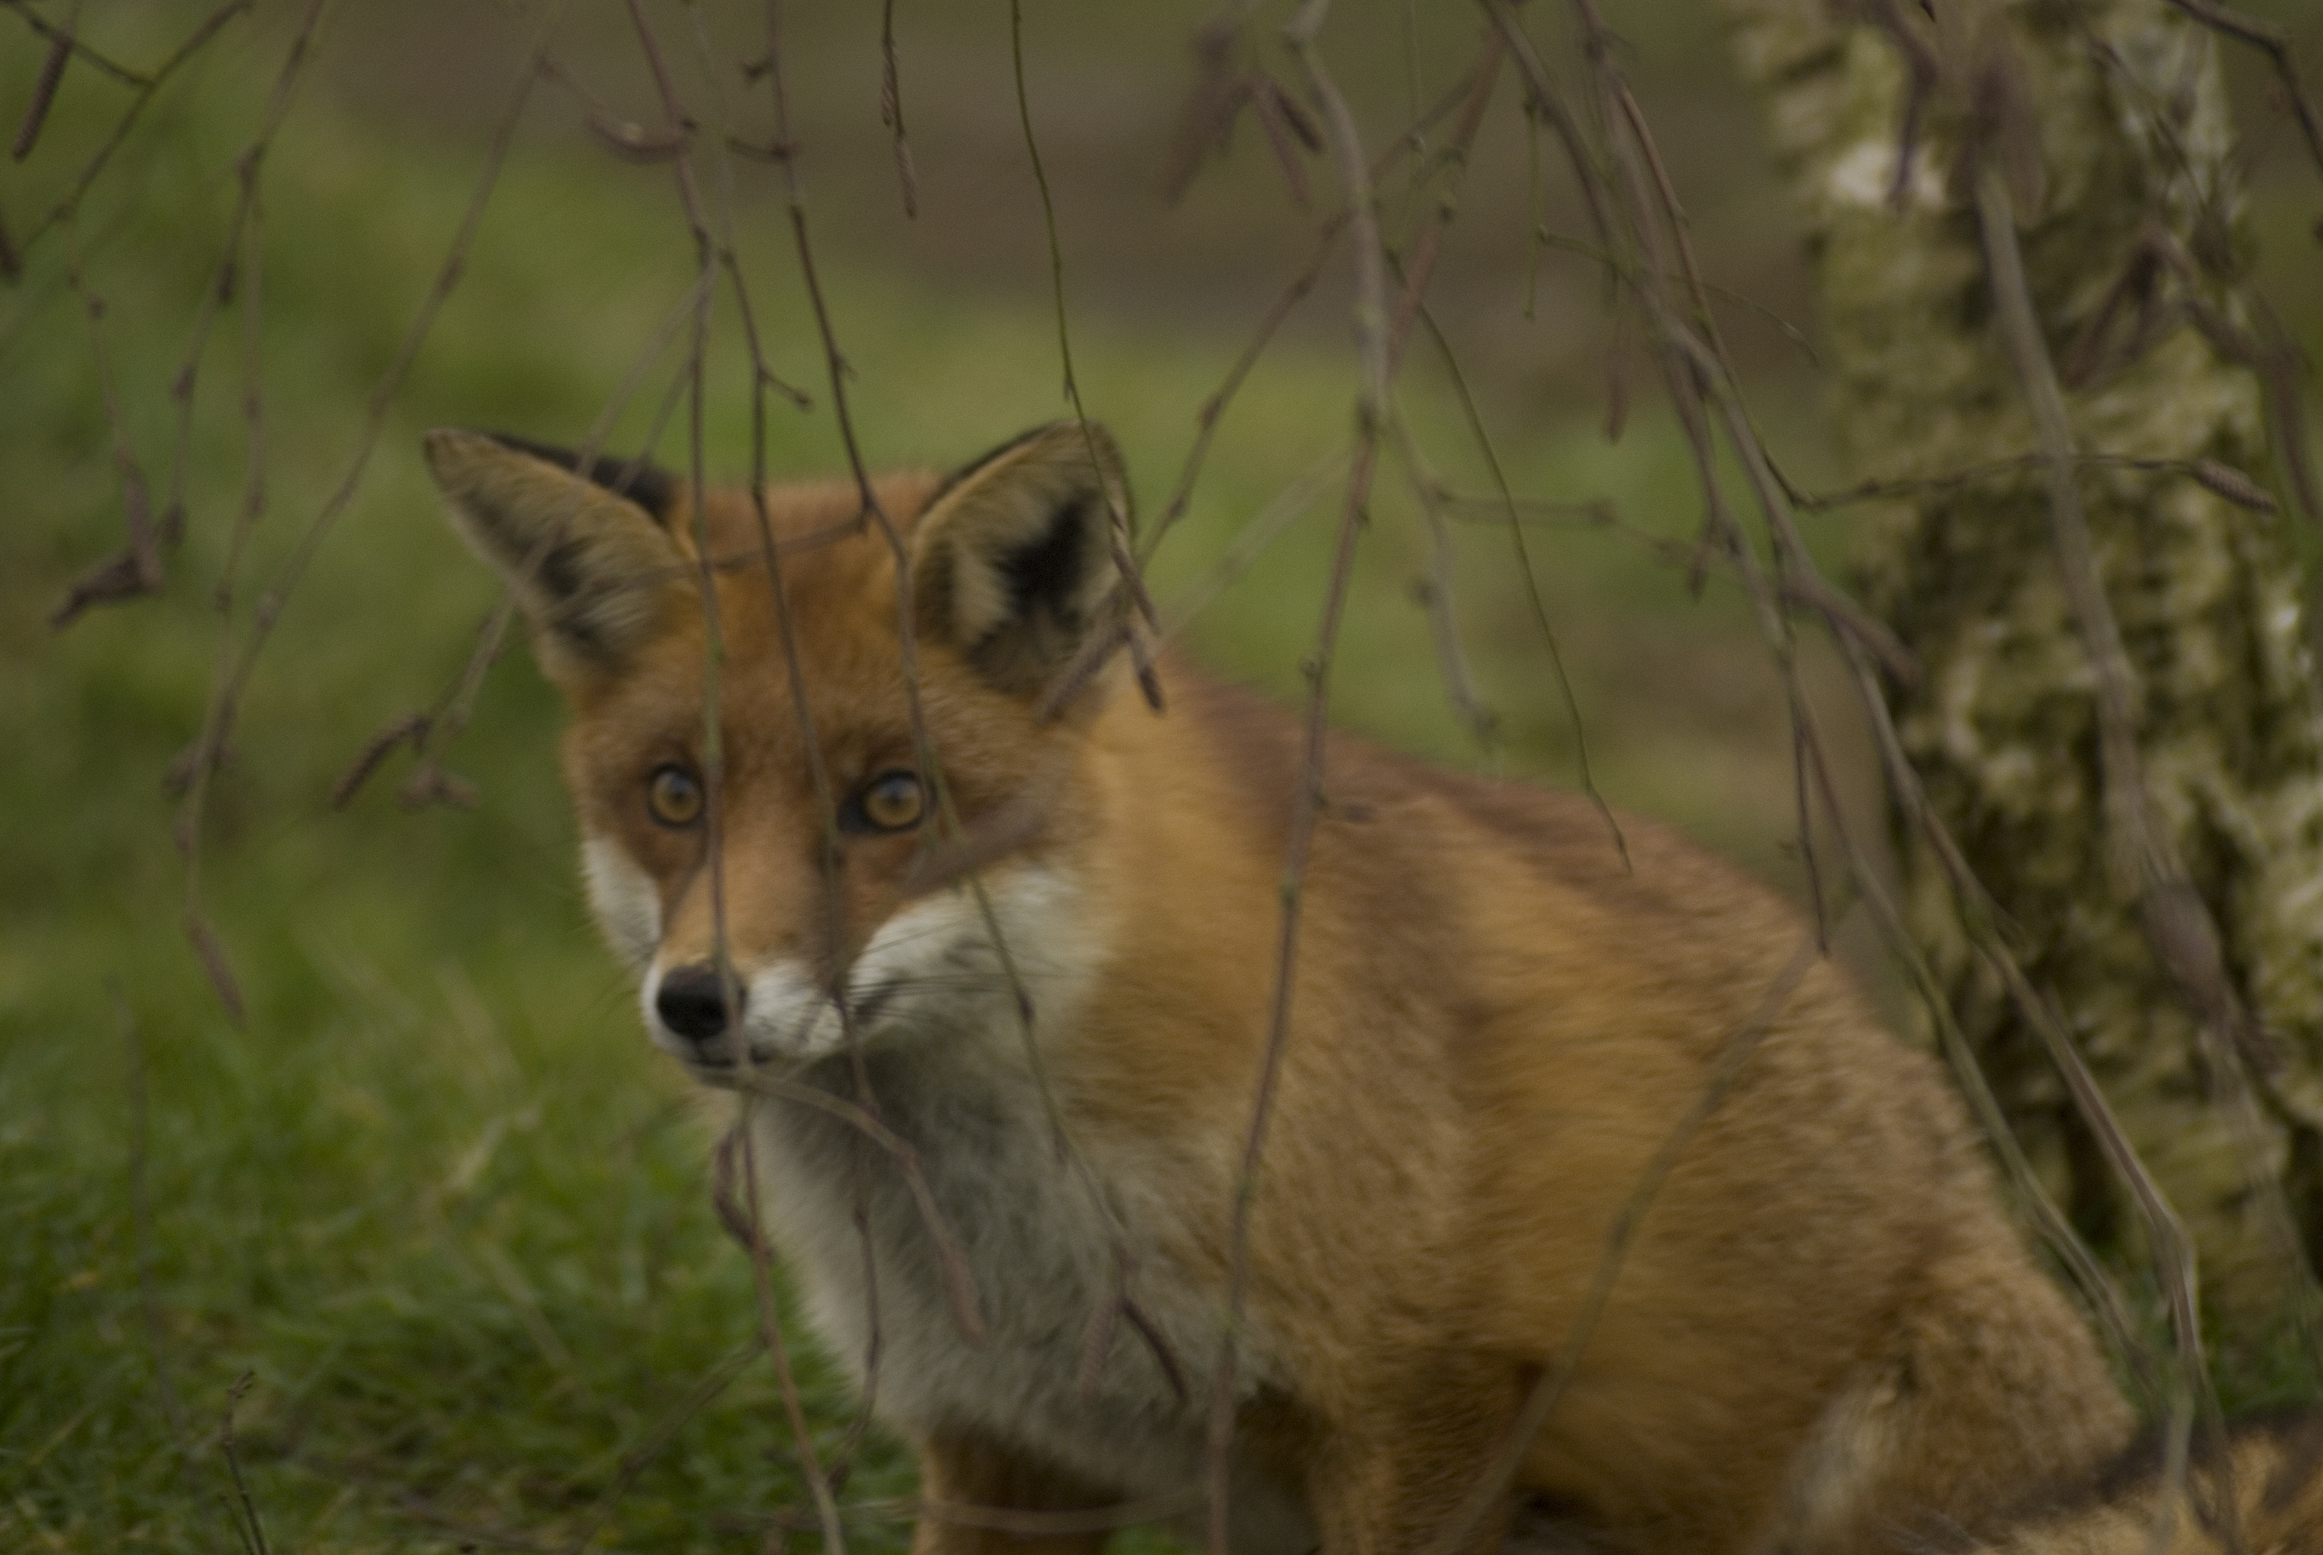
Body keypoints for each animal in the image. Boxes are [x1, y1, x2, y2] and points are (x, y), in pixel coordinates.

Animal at [427, 420, 2139, 1555]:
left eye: (891, 801)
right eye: (672, 792)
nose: (698, 1000)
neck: (1011, 1224)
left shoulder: (1423, 1397)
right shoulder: (1002, 1443)